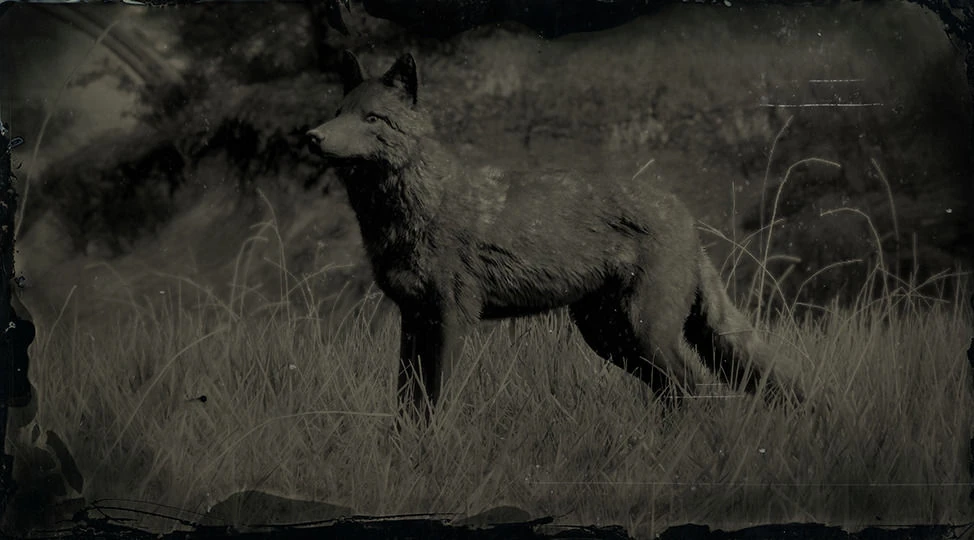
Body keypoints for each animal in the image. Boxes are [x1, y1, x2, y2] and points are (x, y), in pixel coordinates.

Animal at [305, 51, 805, 418]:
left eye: (372, 118)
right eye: (337, 113)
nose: (313, 136)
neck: (412, 212)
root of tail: (684, 214)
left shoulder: (451, 317)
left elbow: (436, 402)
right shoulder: (414, 318)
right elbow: (408, 405)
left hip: (643, 331)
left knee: (692, 387)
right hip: (609, 337)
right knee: (674, 391)